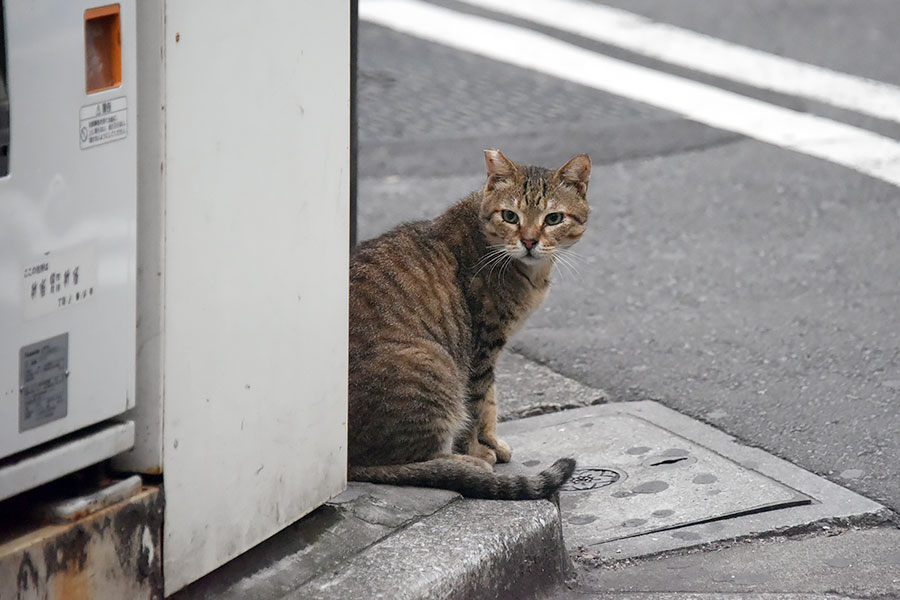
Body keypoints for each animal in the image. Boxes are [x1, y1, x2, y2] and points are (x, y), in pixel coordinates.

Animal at [350, 150, 592, 502]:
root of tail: (345, 462)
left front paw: (490, 442)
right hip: (436, 366)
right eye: (510, 216)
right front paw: (477, 450)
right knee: (407, 462)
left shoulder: (489, 350)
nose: (529, 241)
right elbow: (476, 406)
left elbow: (489, 402)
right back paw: (466, 464)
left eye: (553, 219)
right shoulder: (483, 345)